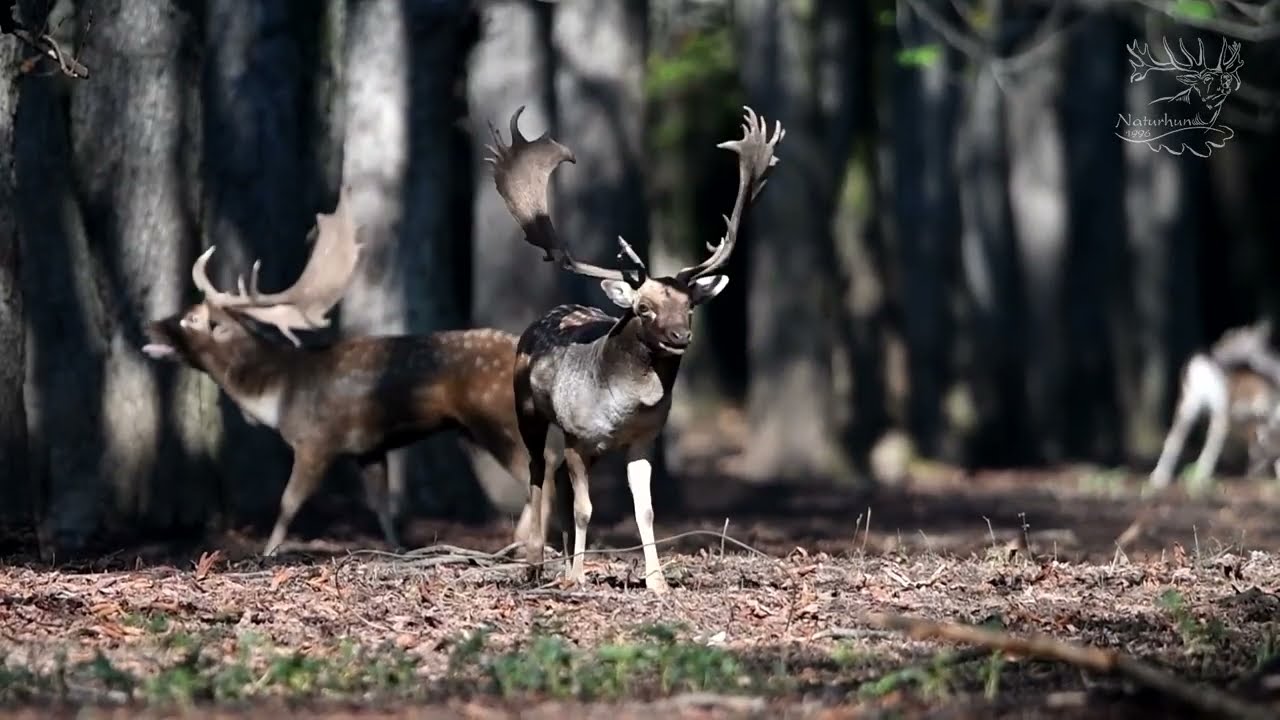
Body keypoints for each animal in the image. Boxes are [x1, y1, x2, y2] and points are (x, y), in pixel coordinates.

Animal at [141, 187, 558, 556]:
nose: (150, 325)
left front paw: (267, 553)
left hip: (493, 417)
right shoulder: (369, 450)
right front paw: (397, 549)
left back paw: (524, 542)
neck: (279, 392)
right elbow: (382, 507)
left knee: (543, 466)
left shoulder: (317, 440)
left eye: (192, 319)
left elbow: (288, 503)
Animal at [483, 105, 784, 593]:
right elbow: (585, 507)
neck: (622, 407)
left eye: (689, 305)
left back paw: (559, 561)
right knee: (538, 472)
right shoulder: (577, 436)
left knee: (559, 482)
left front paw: (656, 582)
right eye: (643, 308)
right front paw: (578, 577)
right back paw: (535, 565)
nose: (680, 336)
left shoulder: (644, 439)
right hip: (527, 408)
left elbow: (644, 510)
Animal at [1148, 319, 1280, 491]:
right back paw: (1199, 479)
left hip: (1188, 406)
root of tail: (1200, 369)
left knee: (1175, 437)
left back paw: (1159, 478)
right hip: (1220, 411)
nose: (1217, 351)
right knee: (1212, 442)